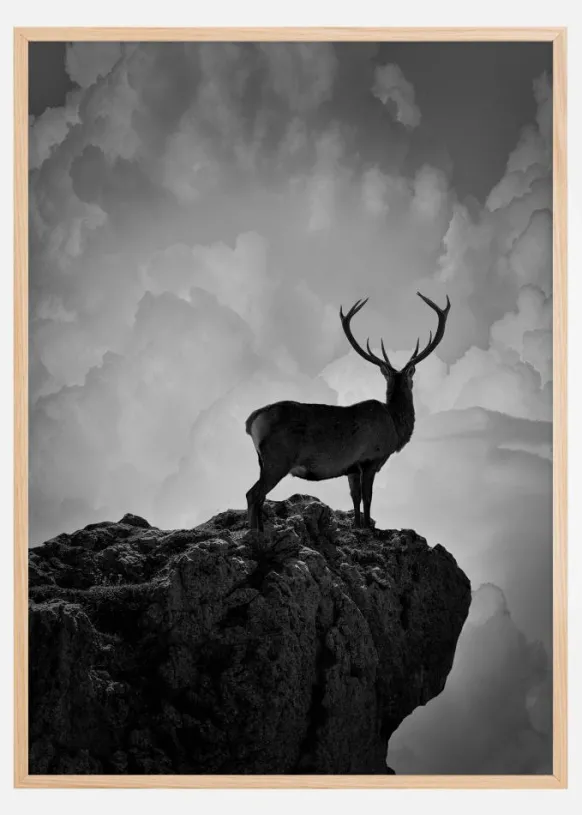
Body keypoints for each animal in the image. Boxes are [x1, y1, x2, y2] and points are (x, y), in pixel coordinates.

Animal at [245, 292, 450, 531]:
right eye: (411, 378)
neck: (395, 427)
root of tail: (251, 421)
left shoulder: (351, 468)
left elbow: (355, 499)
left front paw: (358, 525)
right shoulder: (371, 458)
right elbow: (368, 498)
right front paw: (369, 527)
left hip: (262, 461)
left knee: (257, 496)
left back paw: (259, 530)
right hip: (277, 458)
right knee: (253, 494)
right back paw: (255, 533)